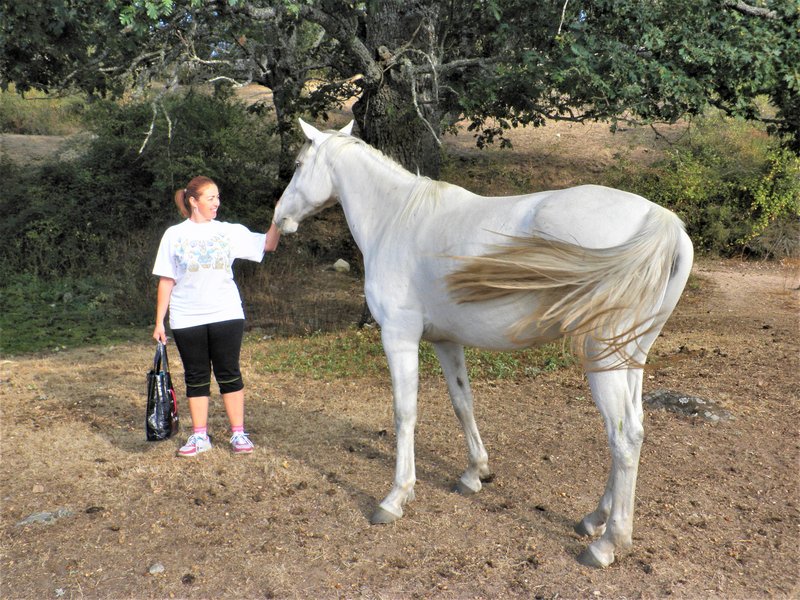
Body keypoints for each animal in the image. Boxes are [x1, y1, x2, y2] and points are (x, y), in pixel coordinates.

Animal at [272, 118, 692, 568]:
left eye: (298, 165)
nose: (280, 219)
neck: (397, 220)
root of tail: (659, 220)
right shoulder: (445, 341)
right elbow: (463, 403)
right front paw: (476, 472)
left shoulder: (399, 337)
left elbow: (405, 414)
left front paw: (396, 497)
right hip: (629, 355)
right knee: (635, 429)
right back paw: (595, 518)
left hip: (603, 356)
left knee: (623, 437)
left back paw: (608, 542)